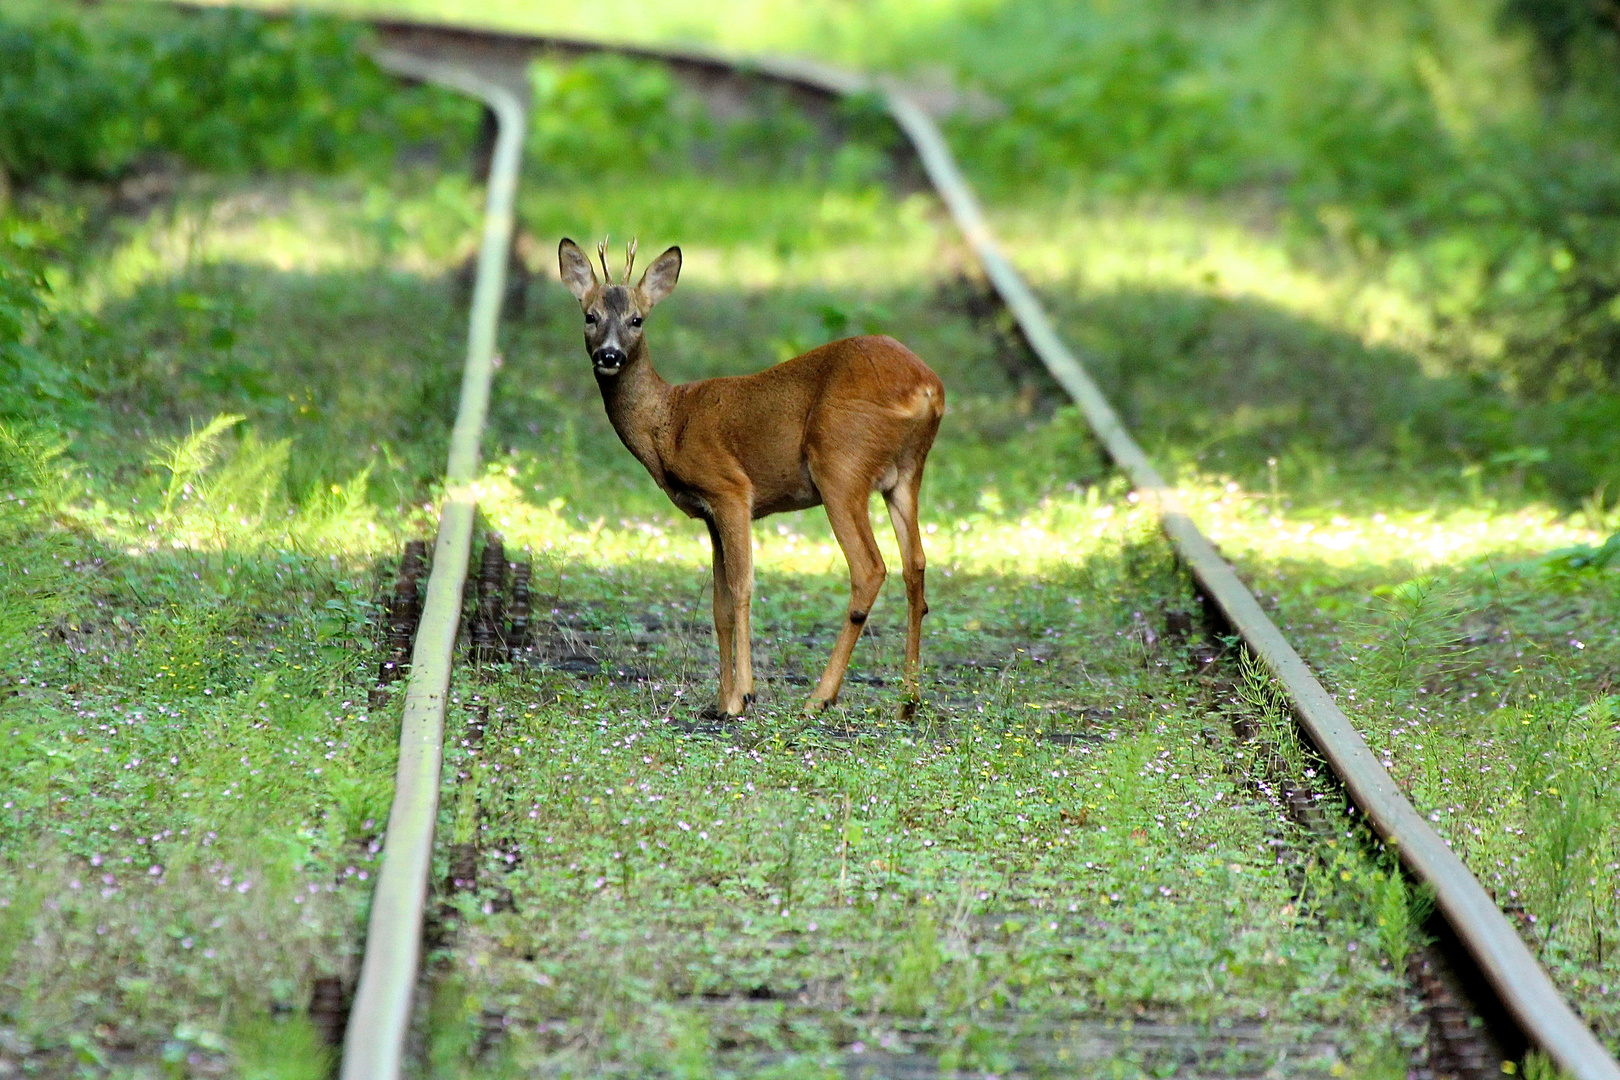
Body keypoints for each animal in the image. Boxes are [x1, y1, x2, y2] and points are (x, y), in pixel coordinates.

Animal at [557, 241, 946, 722]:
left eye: (637, 320)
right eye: (589, 315)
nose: (608, 355)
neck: (669, 422)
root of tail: (927, 388)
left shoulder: (731, 490)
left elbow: (742, 588)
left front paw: (742, 696)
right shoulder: (709, 514)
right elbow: (719, 604)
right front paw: (721, 699)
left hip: (840, 463)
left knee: (870, 568)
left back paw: (821, 696)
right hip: (906, 474)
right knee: (916, 565)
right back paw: (908, 700)